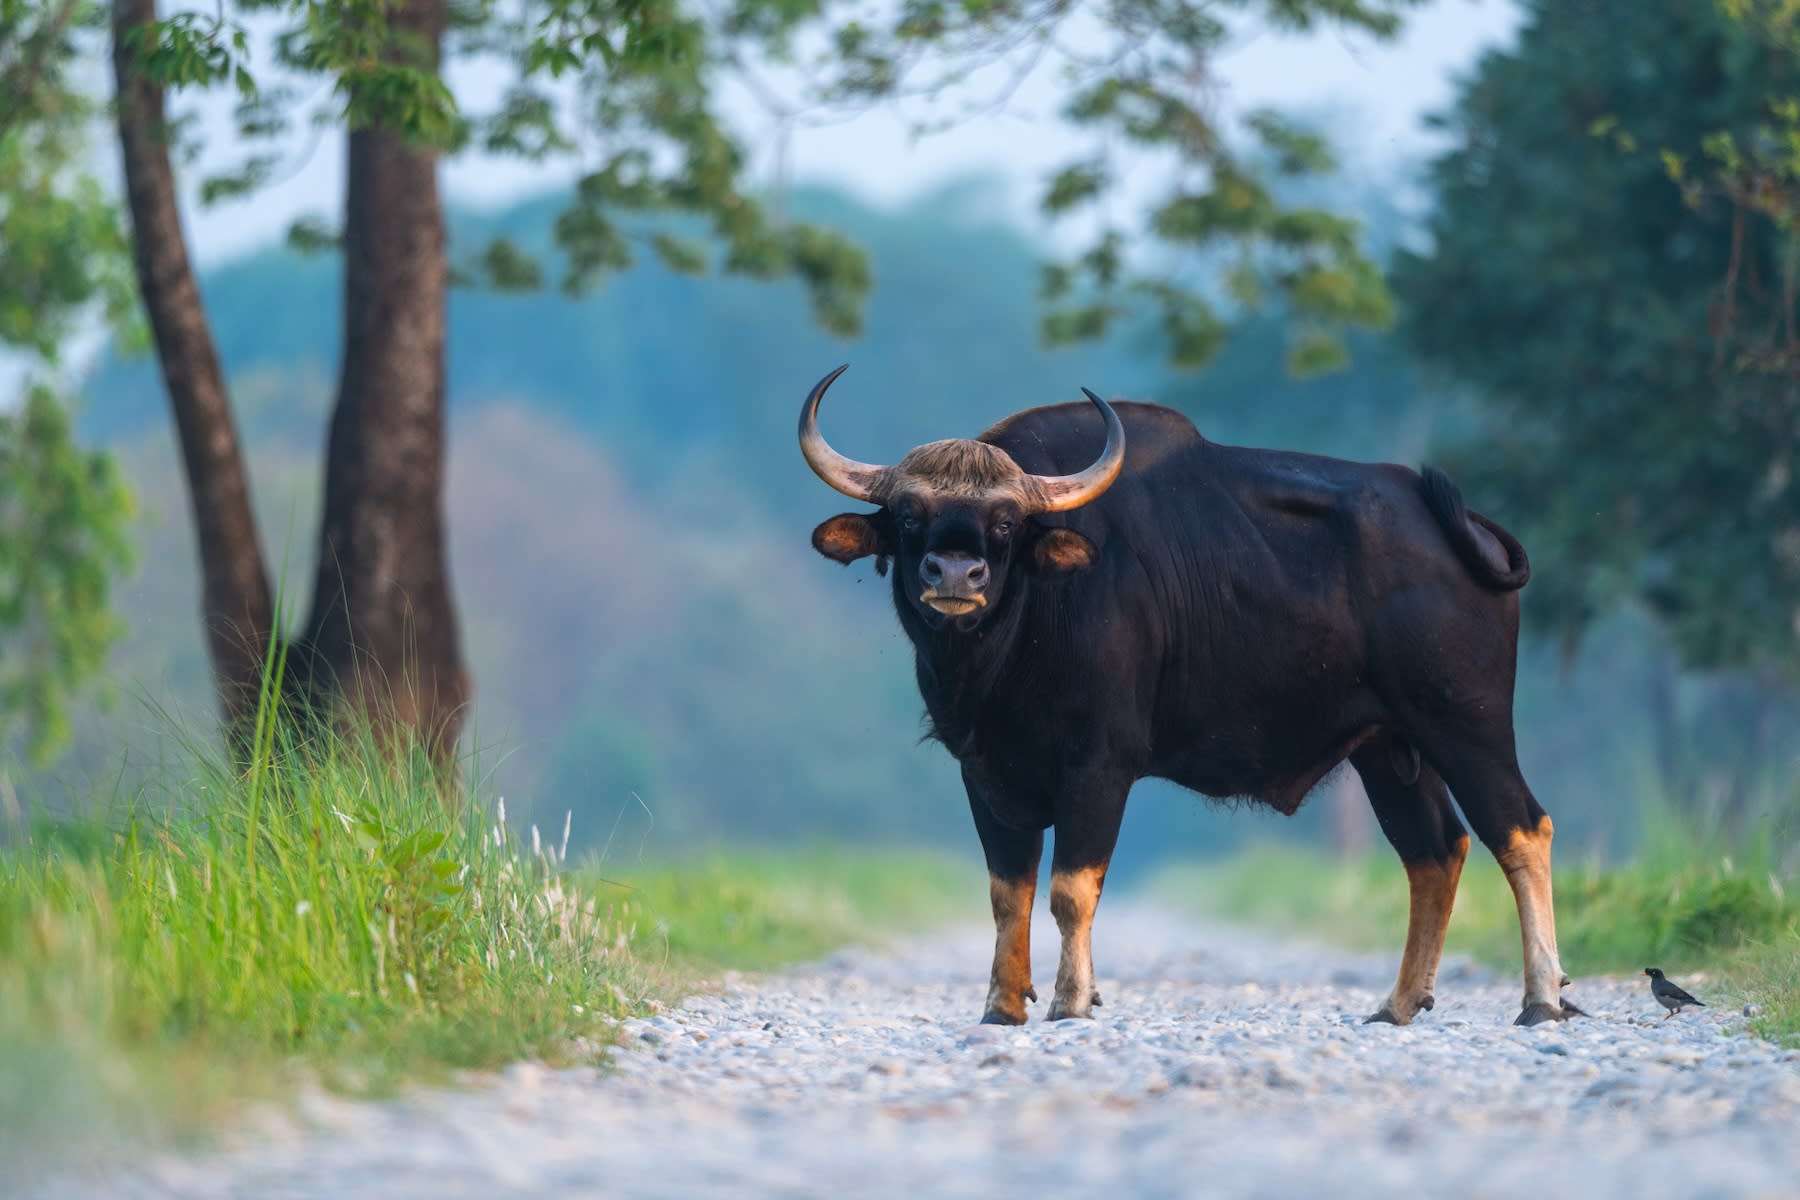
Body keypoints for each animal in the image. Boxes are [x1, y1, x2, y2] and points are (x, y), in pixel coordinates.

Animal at [799, 364, 1580, 1027]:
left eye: (1005, 523)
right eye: (908, 515)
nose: (956, 574)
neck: (1011, 647)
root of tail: (1459, 527)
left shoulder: (1099, 766)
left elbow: (1071, 889)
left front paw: (1072, 1000)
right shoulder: (985, 771)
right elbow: (1006, 894)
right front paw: (1003, 1004)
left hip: (1466, 723)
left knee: (1521, 830)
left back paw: (1542, 998)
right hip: (1387, 749)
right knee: (1434, 851)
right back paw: (1398, 1003)